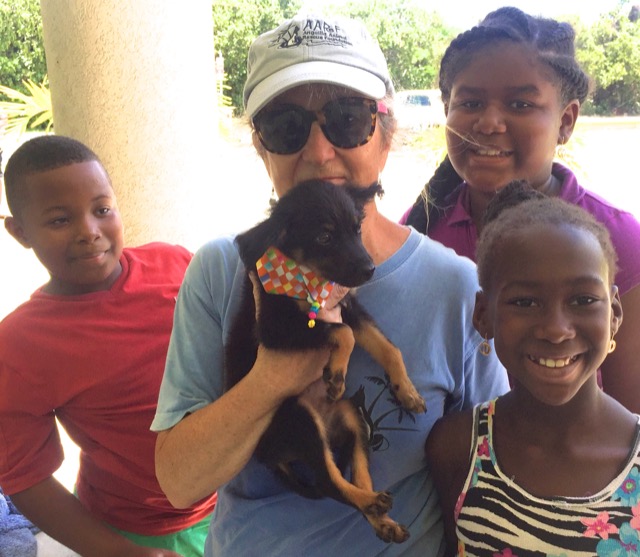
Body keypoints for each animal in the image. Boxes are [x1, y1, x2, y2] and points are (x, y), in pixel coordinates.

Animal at [225, 179, 424, 544]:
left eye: (357, 229)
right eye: (325, 237)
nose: (370, 270)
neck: (308, 279)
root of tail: (266, 455)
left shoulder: (350, 307)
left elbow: (387, 348)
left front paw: (407, 391)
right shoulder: (277, 329)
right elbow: (341, 333)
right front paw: (336, 373)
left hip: (355, 419)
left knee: (356, 474)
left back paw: (381, 516)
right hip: (300, 420)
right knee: (328, 482)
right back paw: (371, 502)